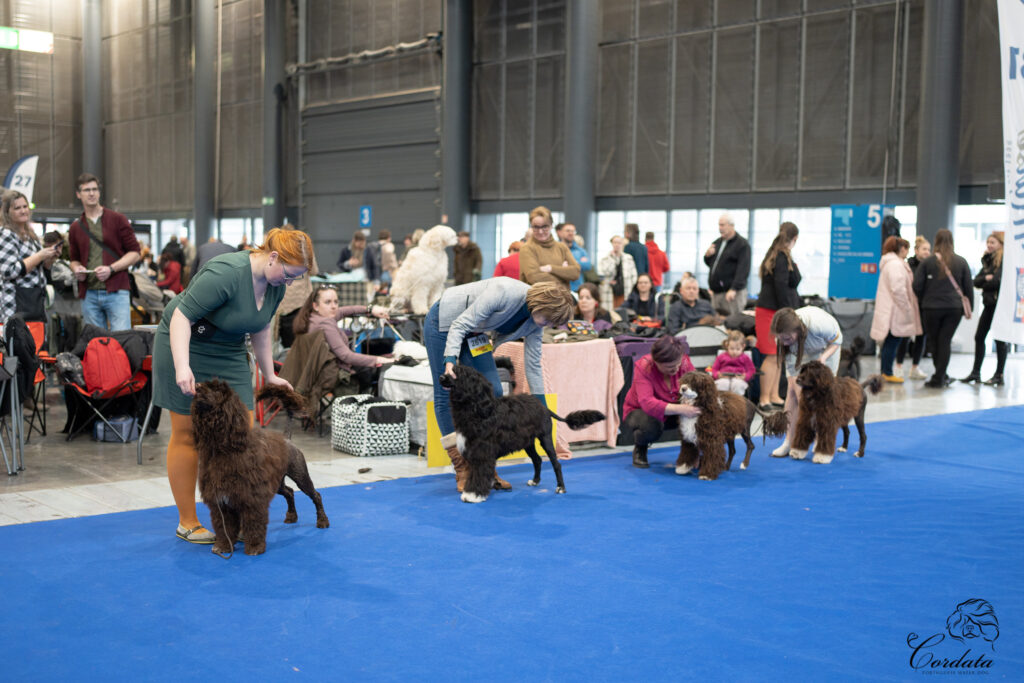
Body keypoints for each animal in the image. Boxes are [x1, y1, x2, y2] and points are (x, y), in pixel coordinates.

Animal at [191, 380, 329, 556]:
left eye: (217, 389)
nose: (197, 387)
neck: (224, 449)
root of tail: (287, 439)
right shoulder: (221, 503)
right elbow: (224, 527)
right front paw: (223, 546)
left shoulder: (252, 498)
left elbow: (253, 524)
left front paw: (255, 547)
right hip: (277, 483)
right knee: (290, 492)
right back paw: (291, 516)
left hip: (300, 475)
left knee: (316, 495)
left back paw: (322, 521)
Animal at [439, 365, 605, 503]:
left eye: (456, 372)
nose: (441, 377)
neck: (479, 410)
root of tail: (544, 407)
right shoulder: (474, 452)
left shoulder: (482, 453)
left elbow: (479, 473)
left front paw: (473, 495)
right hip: (528, 442)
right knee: (537, 460)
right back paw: (535, 481)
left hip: (545, 438)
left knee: (556, 463)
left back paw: (560, 488)